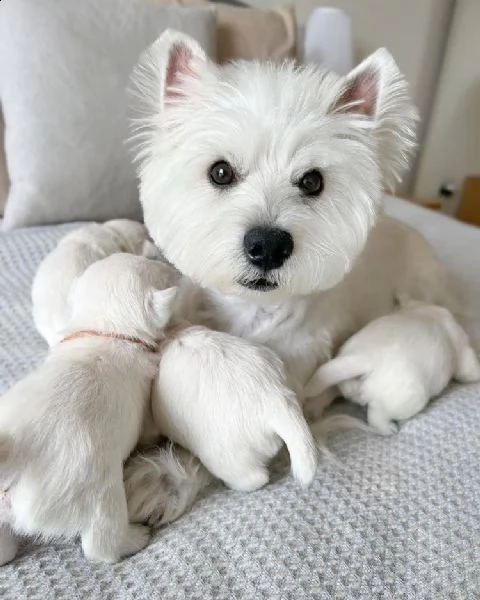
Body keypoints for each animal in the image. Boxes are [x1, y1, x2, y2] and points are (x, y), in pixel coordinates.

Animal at [0, 255, 178, 564]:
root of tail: (19, 454)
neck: (106, 330)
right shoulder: (145, 405)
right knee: (101, 544)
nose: (157, 255)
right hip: (99, 495)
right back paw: (135, 539)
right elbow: (149, 430)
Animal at [304, 302, 480, 434]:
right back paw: (388, 428)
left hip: (338, 375)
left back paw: (313, 408)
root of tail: (363, 359)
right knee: (375, 416)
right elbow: (470, 370)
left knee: (326, 389)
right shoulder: (465, 357)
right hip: (405, 399)